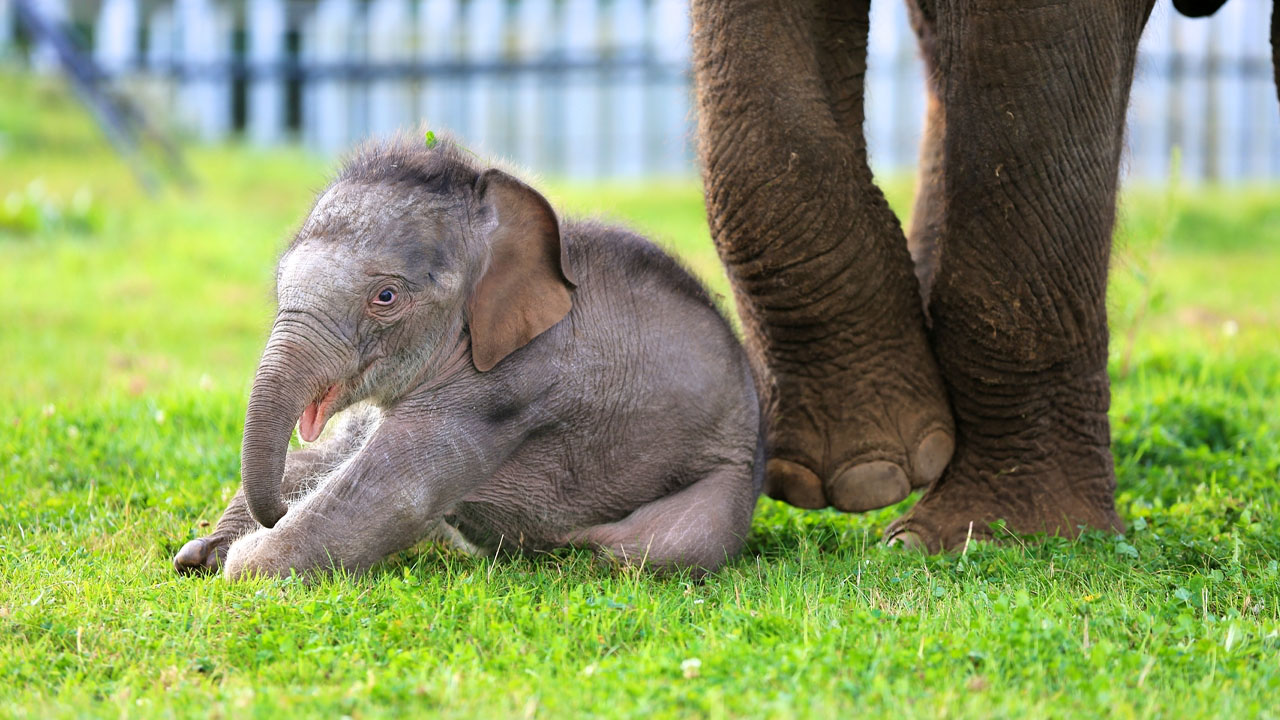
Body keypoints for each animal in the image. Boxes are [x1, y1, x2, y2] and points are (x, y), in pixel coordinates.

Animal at [172, 135, 757, 576]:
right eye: (279, 280)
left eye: (386, 297)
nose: (272, 513)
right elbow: (328, 459)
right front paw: (199, 553)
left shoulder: (507, 390)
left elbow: (382, 497)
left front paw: (240, 563)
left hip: (727, 474)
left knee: (661, 547)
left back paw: (584, 550)